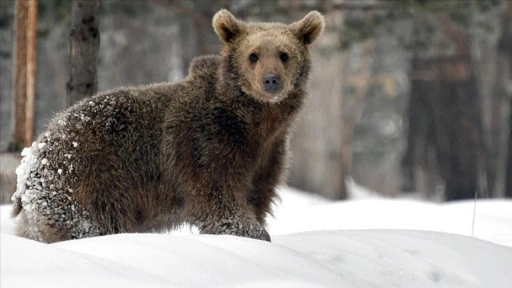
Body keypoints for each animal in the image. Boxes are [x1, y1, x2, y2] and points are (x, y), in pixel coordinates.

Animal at [11, 9, 324, 242]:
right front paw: (251, 232)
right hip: (86, 177)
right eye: (253, 55)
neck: (255, 121)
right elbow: (216, 197)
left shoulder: (269, 154)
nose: (271, 80)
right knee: (90, 223)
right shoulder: (205, 144)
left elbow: (258, 194)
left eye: (284, 54)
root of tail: (30, 159)